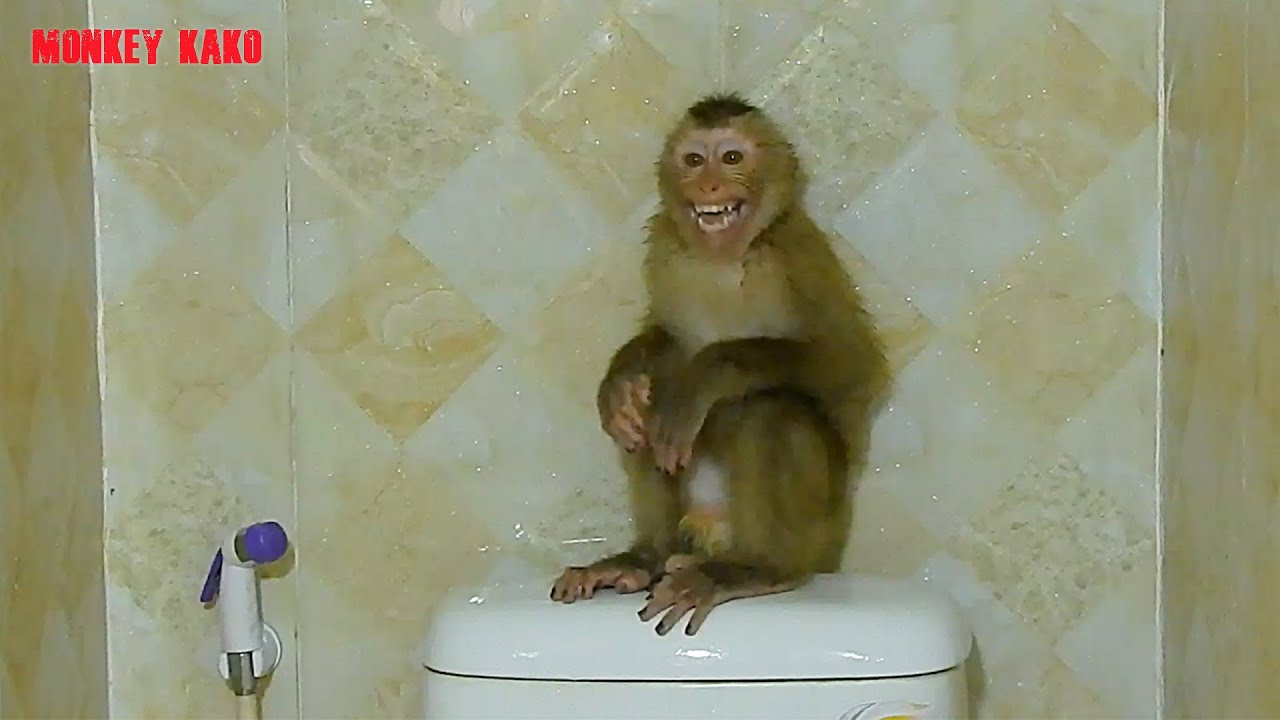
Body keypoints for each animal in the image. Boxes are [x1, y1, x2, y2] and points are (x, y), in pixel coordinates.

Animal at [550, 92, 890, 637]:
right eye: (693, 160)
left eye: (731, 158)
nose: (708, 185)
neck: (725, 260)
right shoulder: (664, 247)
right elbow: (662, 338)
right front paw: (621, 376)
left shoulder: (799, 253)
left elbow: (852, 363)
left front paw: (706, 373)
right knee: (649, 407)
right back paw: (645, 556)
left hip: (818, 530)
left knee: (770, 408)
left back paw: (758, 568)